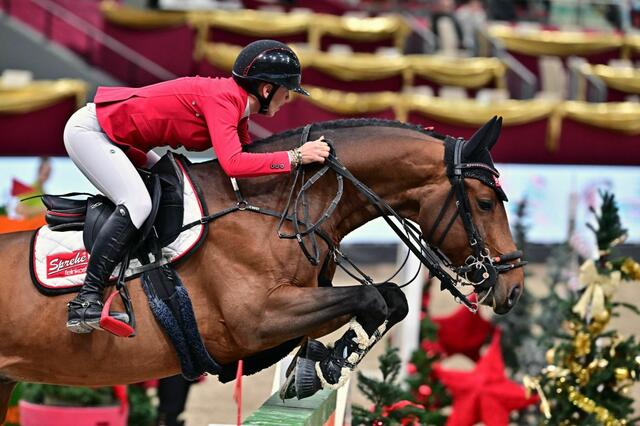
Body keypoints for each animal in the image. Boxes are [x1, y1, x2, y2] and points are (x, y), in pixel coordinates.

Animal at [0, 117, 524, 420]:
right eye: (484, 201)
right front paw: (325, 367)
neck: (277, 207)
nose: (515, 288)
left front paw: (317, 364)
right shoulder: (255, 320)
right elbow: (372, 297)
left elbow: (388, 300)